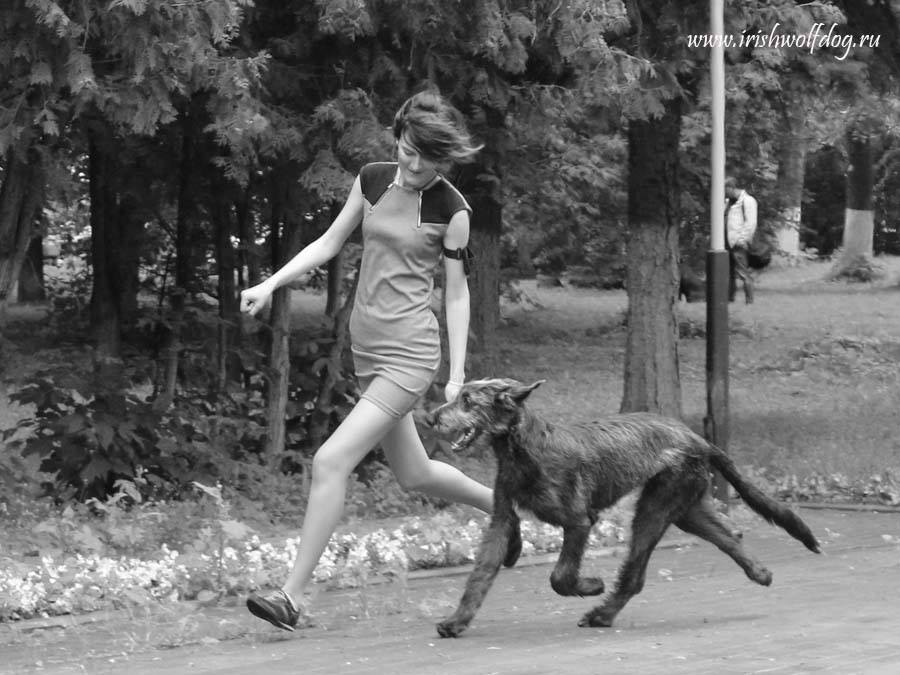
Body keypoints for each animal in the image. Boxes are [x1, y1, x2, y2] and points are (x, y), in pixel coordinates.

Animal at [426, 380, 820, 640]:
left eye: (468, 401)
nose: (430, 418)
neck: (522, 449)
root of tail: (698, 437)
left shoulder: (579, 521)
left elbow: (560, 577)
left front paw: (591, 585)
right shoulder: (502, 520)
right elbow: (480, 576)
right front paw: (457, 621)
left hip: (657, 509)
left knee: (635, 576)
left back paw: (601, 613)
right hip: (686, 509)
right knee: (729, 536)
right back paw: (759, 572)